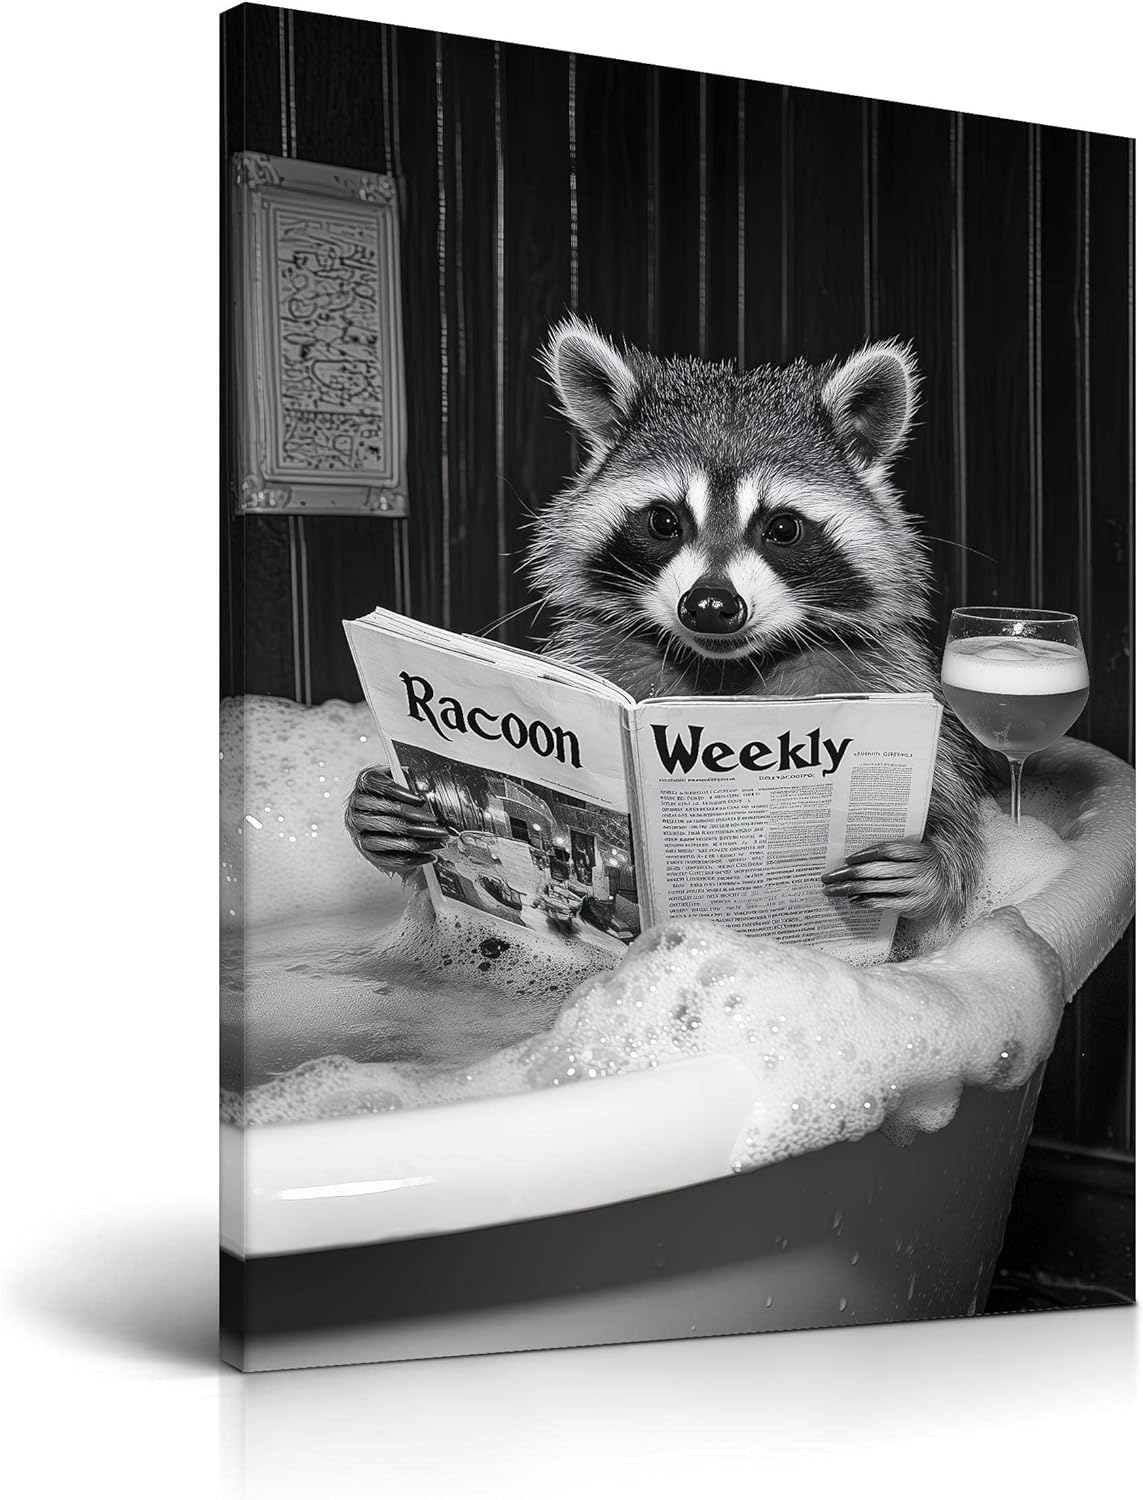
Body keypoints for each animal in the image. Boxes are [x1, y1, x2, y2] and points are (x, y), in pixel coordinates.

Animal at [347, 318, 992, 927]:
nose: (710, 605)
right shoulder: (596, 657)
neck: (723, 670)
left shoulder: (888, 681)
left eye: (782, 528)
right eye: (664, 521)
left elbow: (949, 796)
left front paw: (934, 861)